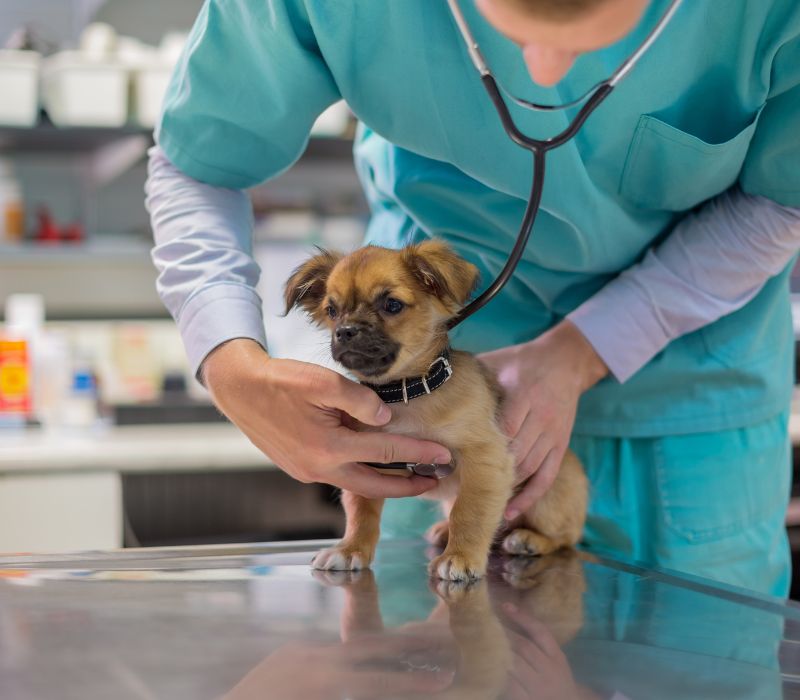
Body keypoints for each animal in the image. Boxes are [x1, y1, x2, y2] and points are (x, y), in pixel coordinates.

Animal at [282, 241, 588, 580]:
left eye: (392, 305)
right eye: (332, 311)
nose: (345, 331)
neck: (406, 394)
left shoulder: (485, 458)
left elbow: (469, 512)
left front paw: (460, 557)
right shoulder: (367, 463)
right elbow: (362, 510)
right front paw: (351, 549)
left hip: (548, 500)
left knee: (566, 539)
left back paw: (529, 539)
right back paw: (444, 530)